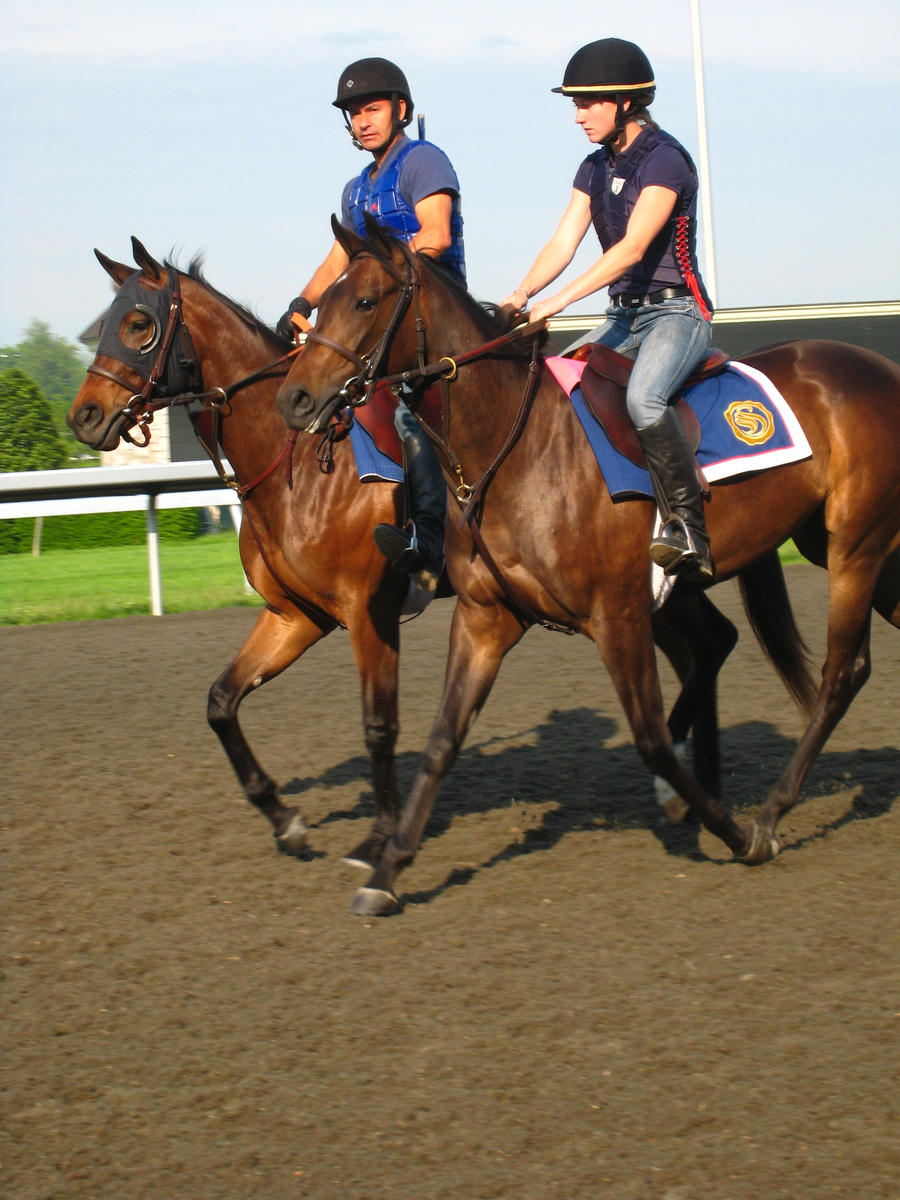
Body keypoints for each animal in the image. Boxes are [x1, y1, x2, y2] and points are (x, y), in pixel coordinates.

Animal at [66, 236, 763, 873]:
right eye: (105, 323)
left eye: (138, 324)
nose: (84, 418)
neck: (294, 463)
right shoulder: (297, 615)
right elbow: (220, 701)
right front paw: (287, 820)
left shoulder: (365, 611)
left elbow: (380, 724)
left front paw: (378, 840)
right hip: (653, 593)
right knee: (710, 646)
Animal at [277, 216, 900, 912]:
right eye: (321, 303)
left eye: (363, 301)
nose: (293, 399)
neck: (515, 444)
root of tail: (881, 367)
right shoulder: (487, 616)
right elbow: (442, 739)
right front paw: (386, 873)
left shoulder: (619, 613)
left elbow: (652, 740)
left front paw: (738, 835)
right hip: (867, 554)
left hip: (856, 547)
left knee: (842, 672)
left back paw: (770, 811)